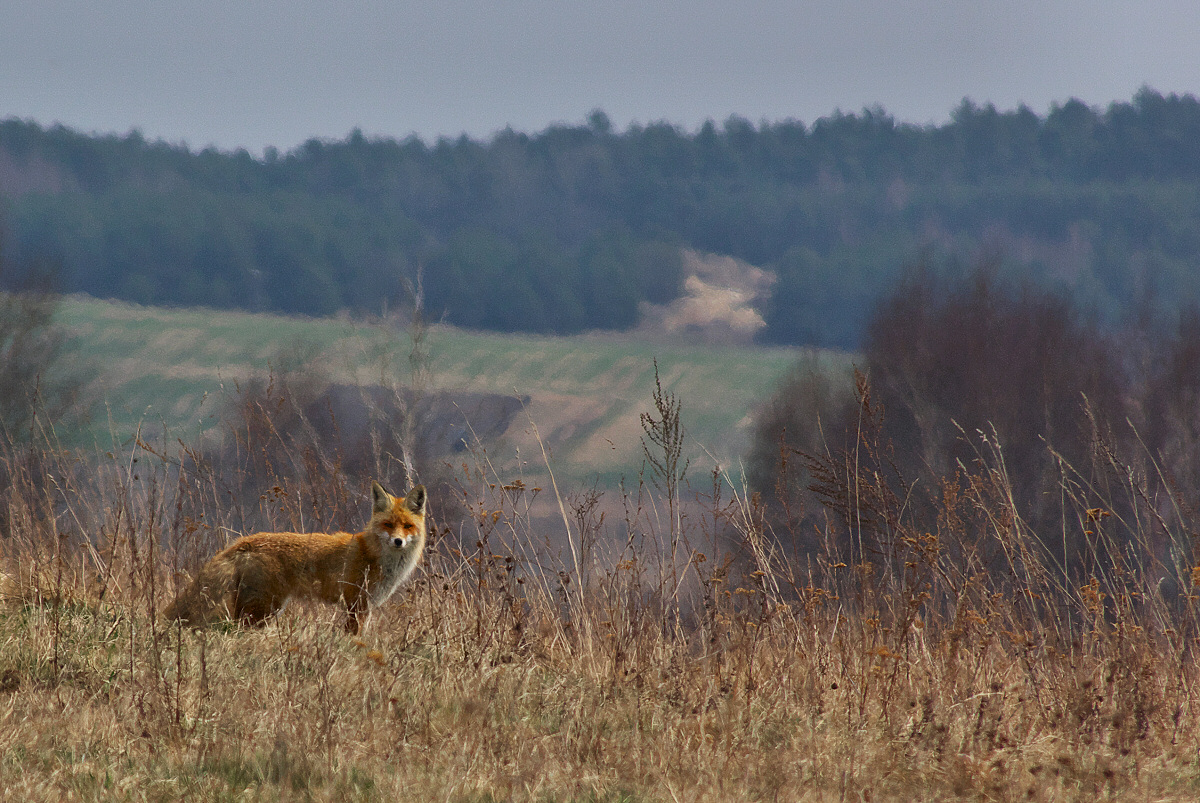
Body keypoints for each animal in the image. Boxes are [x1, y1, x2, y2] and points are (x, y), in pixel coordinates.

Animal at [164, 482, 427, 633]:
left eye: (407, 526)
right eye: (388, 524)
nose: (398, 541)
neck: (374, 556)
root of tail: (245, 542)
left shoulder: (363, 608)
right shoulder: (356, 605)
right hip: (263, 609)